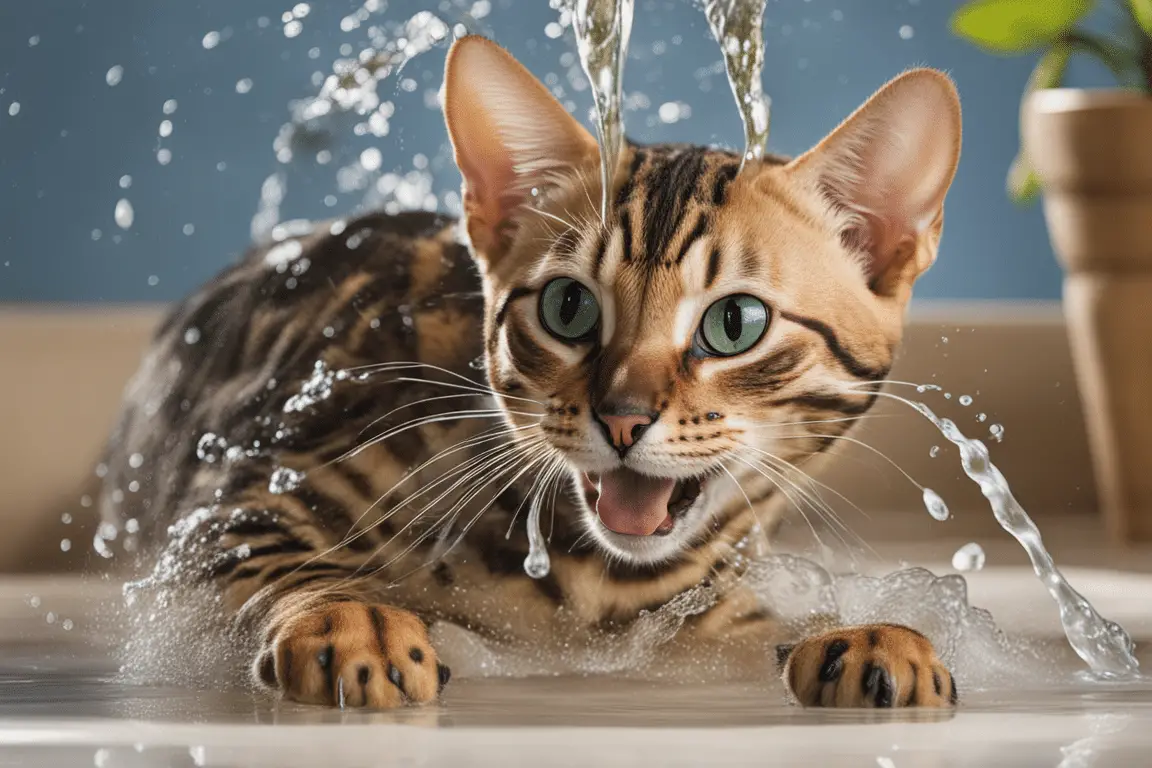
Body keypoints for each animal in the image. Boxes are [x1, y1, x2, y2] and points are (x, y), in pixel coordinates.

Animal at [99, 35, 963, 709]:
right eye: (568, 307)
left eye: (735, 323)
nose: (622, 417)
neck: (590, 589)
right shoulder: (248, 490)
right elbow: (291, 562)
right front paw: (351, 622)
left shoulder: (699, 624)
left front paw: (865, 638)